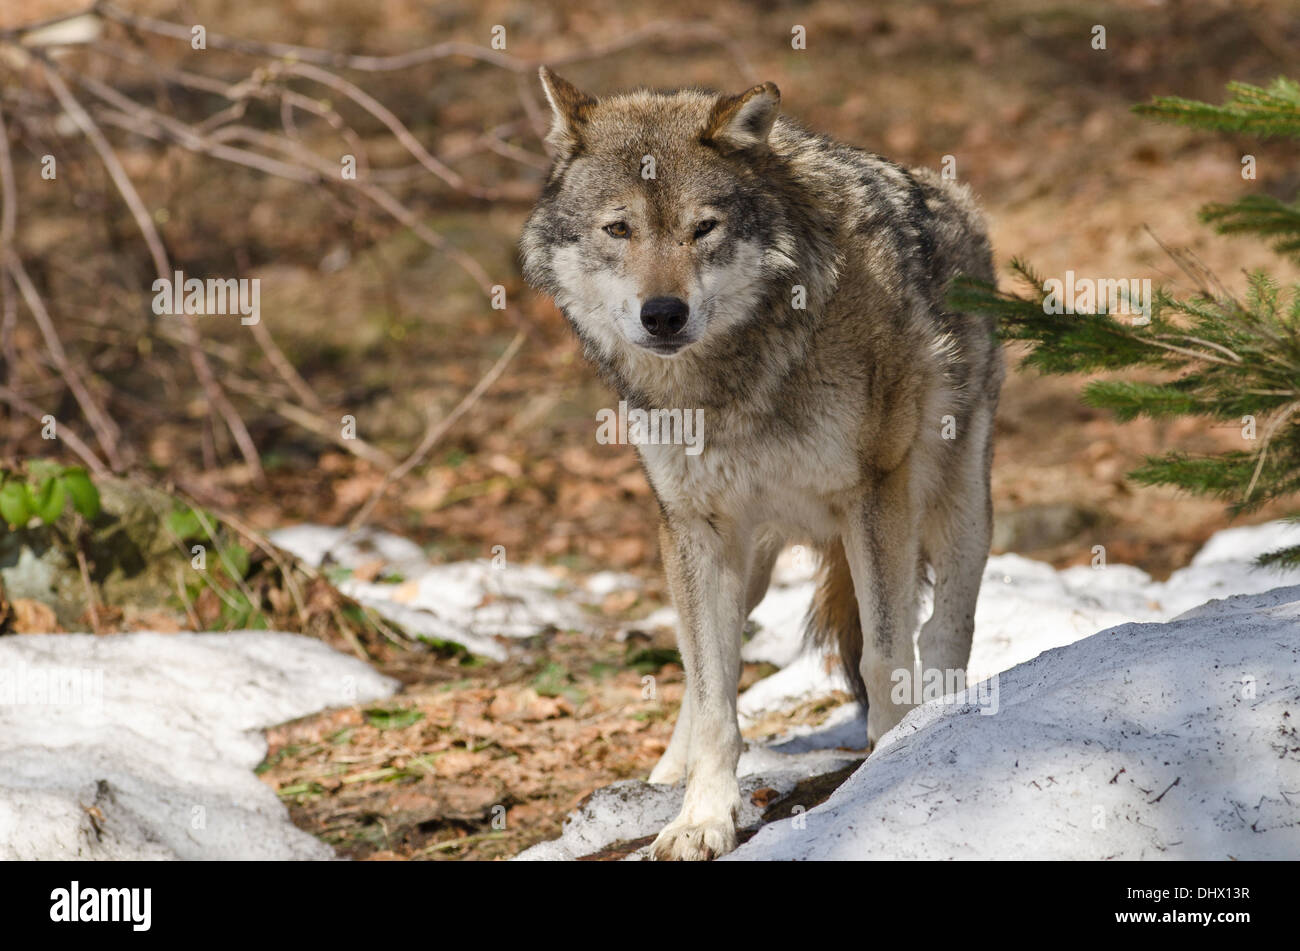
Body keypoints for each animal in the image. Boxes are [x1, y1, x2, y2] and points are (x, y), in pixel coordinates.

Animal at [520, 64, 1003, 852]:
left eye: (703, 228)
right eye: (619, 229)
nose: (663, 314)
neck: (737, 380)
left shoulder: (874, 494)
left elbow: (883, 654)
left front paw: (890, 769)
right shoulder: (692, 527)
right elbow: (714, 696)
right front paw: (700, 818)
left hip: (955, 505)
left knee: (944, 630)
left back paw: (941, 717)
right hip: (742, 565)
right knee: (695, 675)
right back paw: (665, 775)